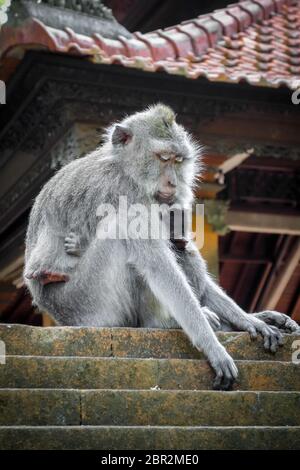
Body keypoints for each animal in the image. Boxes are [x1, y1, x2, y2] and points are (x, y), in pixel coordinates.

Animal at [24, 104, 298, 392]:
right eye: (163, 158)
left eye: (178, 161)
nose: (173, 183)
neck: (124, 168)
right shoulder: (125, 194)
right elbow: (157, 266)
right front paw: (212, 346)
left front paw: (249, 319)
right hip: (87, 304)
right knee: (125, 233)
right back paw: (163, 322)